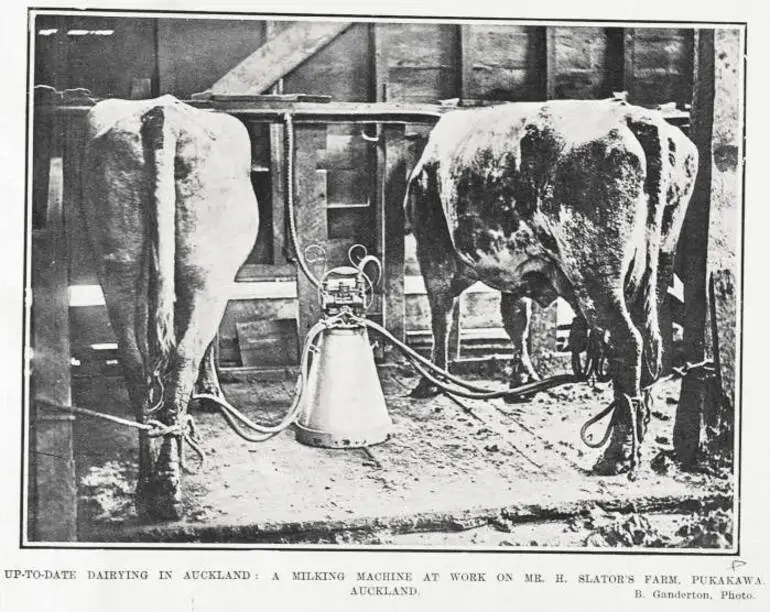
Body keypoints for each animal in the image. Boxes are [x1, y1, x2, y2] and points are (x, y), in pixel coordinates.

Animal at [82, 94, 258, 516]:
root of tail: (163, 116)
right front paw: (210, 393)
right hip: (206, 268)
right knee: (184, 355)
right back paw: (168, 486)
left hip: (118, 262)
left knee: (135, 359)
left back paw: (148, 483)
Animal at [404, 99, 700, 474]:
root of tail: (634, 118)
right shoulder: (513, 269)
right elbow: (515, 317)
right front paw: (523, 381)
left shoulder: (433, 253)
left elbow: (441, 318)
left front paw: (431, 380)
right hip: (658, 265)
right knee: (652, 344)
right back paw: (634, 438)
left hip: (593, 272)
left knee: (626, 342)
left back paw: (614, 455)